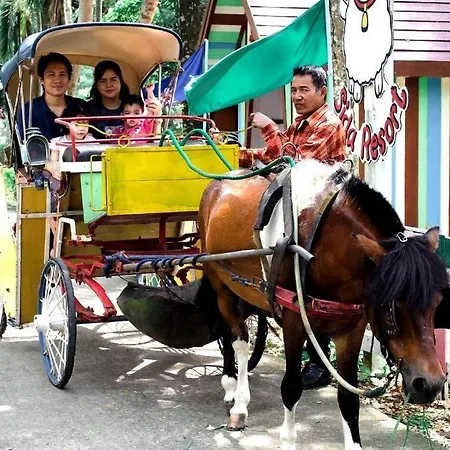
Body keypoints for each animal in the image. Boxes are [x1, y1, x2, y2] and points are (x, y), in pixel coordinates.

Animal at [197, 159, 449, 450]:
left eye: (437, 301)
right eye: (391, 303)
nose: (430, 384)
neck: (326, 244)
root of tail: (218, 183)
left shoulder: (351, 329)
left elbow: (348, 399)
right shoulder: (293, 320)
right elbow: (291, 388)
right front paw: (287, 441)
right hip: (220, 283)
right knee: (236, 338)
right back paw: (236, 396)